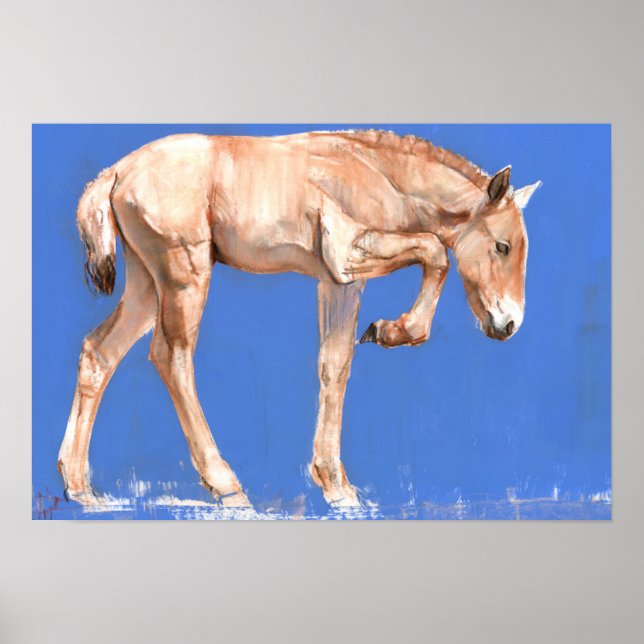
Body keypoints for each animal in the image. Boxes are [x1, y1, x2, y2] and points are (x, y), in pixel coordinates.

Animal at [58, 129, 541, 509]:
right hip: (184, 279)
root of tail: (116, 172)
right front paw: (392, 331)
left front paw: (336, 486)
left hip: (146, 286)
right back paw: (226, 485)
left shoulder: (338, 283)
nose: (508, 324)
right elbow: (435, 251)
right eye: (502, 246)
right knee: (171, 357)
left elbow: (335, 365)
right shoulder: (348, 257)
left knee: (99, 352)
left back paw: (79, 487)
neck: (377, 172)